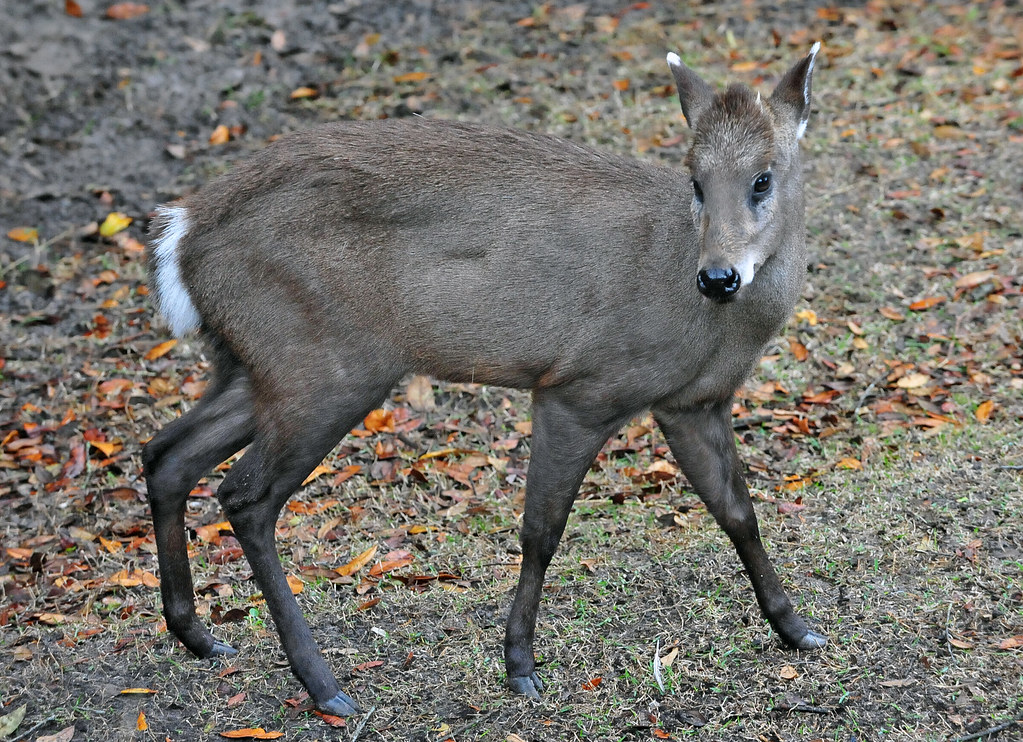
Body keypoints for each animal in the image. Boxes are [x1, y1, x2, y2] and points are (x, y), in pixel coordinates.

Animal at [142, 43, 824, 716]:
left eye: (762, 178)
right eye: (695, 180)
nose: (718, 276)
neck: (713, 326)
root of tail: (182, 238)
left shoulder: (693, 402)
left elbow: (739, 512)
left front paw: (796, 629)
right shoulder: (582, 386)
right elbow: (542, 530)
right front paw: (519, 665)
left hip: (261, 367)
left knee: (166, 452)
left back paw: (199, 635)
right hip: (323, 368)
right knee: (244, 494)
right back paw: (324, 685)